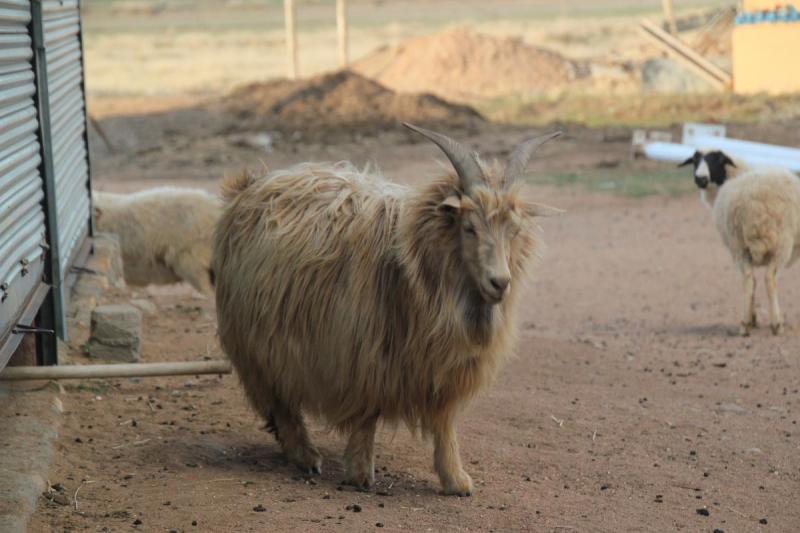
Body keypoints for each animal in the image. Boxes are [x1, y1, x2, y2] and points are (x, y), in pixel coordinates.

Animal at [212, 123, 564, 494]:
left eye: (514, 230)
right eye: (469, 228)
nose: (500, 282)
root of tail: (249, 184)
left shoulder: (440, 368)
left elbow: (445, 423)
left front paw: (455, 479)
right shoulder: (364, 355)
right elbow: (367, 415)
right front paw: (360, 473)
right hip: (258, 345)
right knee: (281, 404)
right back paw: (305, 456)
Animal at [680, 148, 800, 334]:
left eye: (718, 159)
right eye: (694, 160)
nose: (700, 178)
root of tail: (755, 206)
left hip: (745, 246)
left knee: (751, 279)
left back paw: (749, 324)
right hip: (775, 243)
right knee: (766, 279)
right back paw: (772, 324)